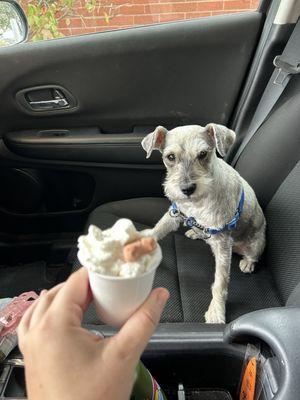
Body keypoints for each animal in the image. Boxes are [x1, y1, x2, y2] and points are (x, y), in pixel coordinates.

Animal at [142, 123, 266, 324]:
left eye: (202, 154)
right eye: (170, 157)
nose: (187, 189)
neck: (197, 203)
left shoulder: (223, 244)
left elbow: (220, 282)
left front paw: (216, 311)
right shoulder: (175, 213)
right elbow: (158, 229)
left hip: (256, 244)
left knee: (253, 255)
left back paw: (247, 263)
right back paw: (195, 232)